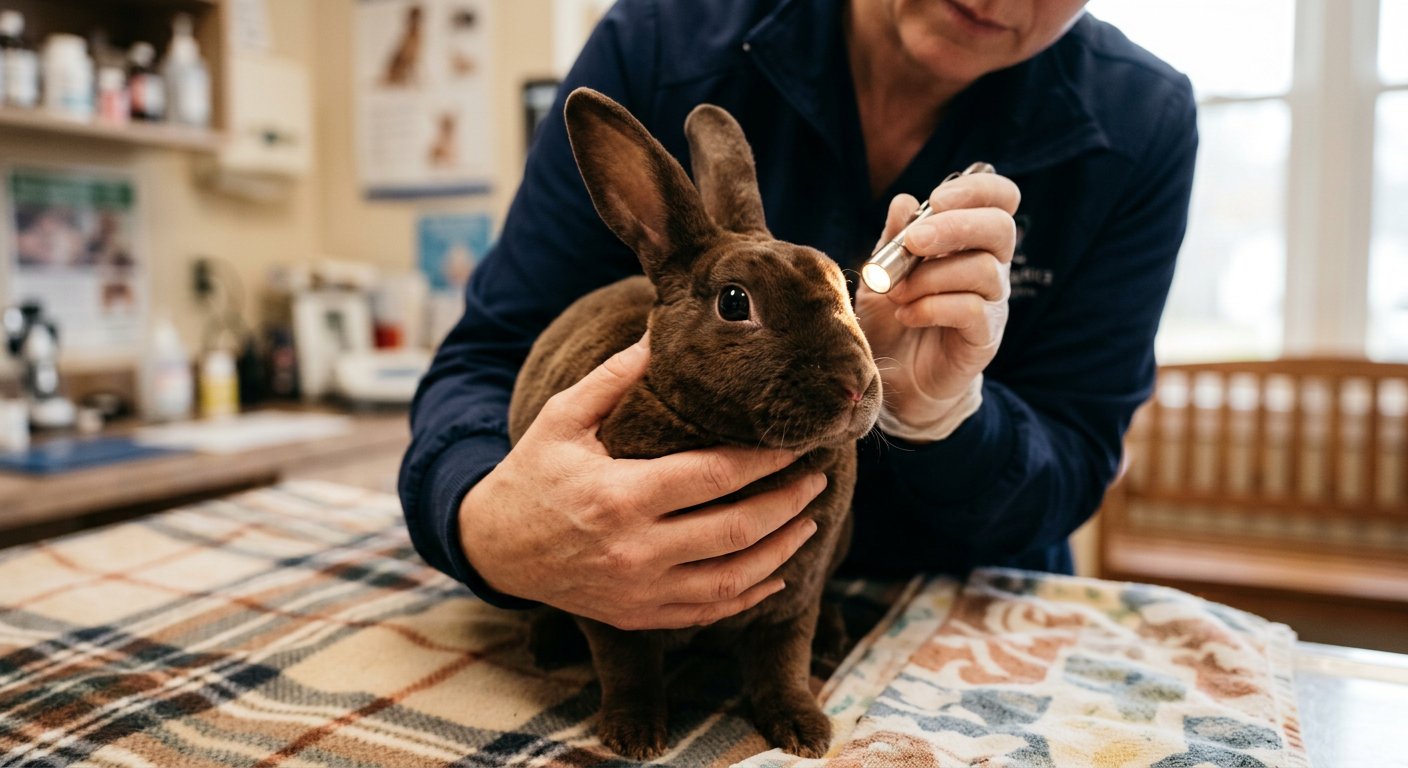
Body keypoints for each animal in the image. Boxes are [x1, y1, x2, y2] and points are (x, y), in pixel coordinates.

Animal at [507, 88, 882, 760]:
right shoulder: (613, 606)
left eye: (844, 287)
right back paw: (546, 643)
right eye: (735, 302)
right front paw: (634, 736)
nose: (856, 383)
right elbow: (627, 665)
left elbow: (783, 663)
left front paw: (805, 732)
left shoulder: (795, 598)